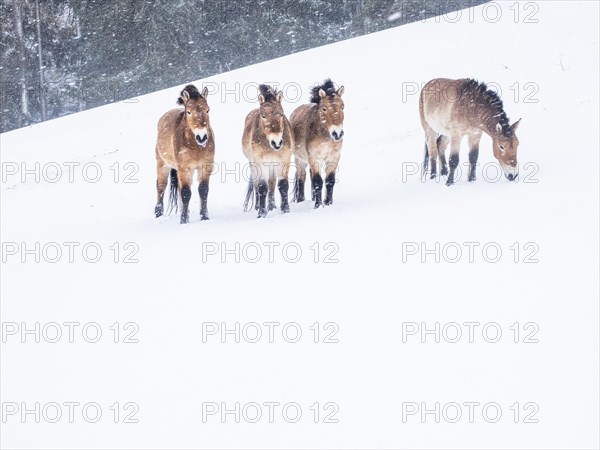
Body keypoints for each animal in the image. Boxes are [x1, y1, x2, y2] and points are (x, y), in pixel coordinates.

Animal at [154, 84, 214, 223]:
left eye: (207, 110)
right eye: (189, 112)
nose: (202, 137)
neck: (196, 147)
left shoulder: (205, 166)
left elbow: (203, 190)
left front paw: (204, 217)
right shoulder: (184, 168)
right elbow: (186, 193)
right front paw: (183, 221)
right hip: (163, 165)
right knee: (161, 187)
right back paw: (158, 213)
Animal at [241, 85, 292, 220]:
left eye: (281, 114)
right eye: (263, 115)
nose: (277, 142)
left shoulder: (284, 161)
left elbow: (282, 185)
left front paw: (285, 210)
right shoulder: (260, 164)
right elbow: (262, 187)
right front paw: (261, 213)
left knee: (272, 185)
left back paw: (271, 206)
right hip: (254, 165)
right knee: (256, 186)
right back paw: (258, 206)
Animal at [290, 79, 344, 207]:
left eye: (342, 107)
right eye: (324, 109)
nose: (337, 133)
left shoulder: (334, 157)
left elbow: (330, 180)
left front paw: (328, 203)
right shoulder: (314, 158)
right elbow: (318, 181)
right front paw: (318, 206)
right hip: (300, 160)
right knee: (301, 178)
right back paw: (300, 200)